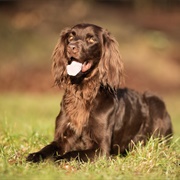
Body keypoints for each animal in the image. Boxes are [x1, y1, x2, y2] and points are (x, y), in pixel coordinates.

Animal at [26, 23, 173, 162]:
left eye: (91, 39)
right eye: (71, 37)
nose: (71, 47)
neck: (83, 93)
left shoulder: (101, 149)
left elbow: (73, 153)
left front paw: (57, 159)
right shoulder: (63, 138)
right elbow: (47, 148)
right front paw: (35, 156)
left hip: (155, 100)